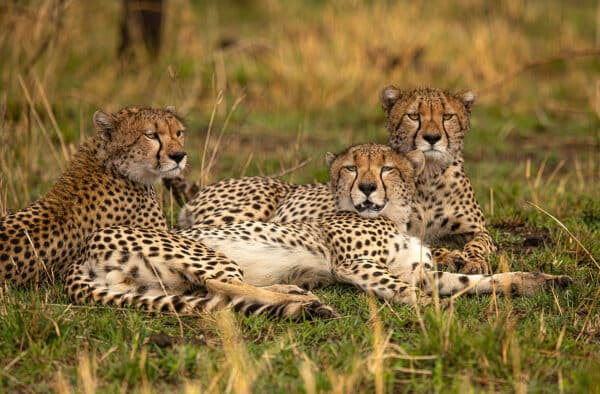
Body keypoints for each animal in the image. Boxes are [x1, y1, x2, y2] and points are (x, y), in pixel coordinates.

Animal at [81, 145, 572, 310]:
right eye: (353, 169)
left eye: (388, 169)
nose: (369, 190)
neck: (395, 217)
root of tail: (84, 253)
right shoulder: (356, 265)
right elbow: (413, 292)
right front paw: (438, 313)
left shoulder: (423, 269)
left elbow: (475, 279)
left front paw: (537, 280)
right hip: (208, 252)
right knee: (222, 285)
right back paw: (301, 301)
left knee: (215, 290)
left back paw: (293, 294)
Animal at [170, 86, 496, 274]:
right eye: (413, 116)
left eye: (447, 116)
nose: (431, 138)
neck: (427, 177)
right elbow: (429, 245)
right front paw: (449, 256)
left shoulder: (477, 230)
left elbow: (481, 244)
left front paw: (472, 259)